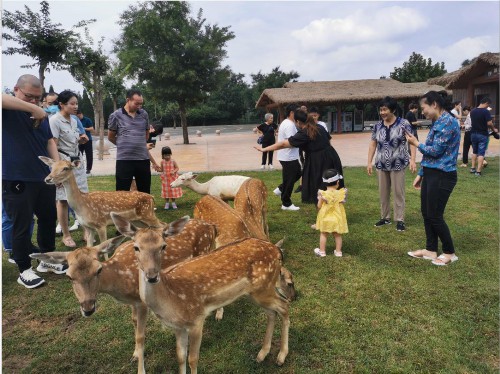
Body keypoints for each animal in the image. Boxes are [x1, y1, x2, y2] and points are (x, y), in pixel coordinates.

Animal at [30, 218, 218, 374]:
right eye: (69, 276)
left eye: (98, 270)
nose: (88, 308)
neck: (120, 283)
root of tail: (210, 226)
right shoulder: (133, 302)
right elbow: (133, 322)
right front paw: (135, 354)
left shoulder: (142, 301)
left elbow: (141, 336)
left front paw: (141, 369)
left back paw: (216, 316)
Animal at [109, 213, 290, 374]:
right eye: (136, 247)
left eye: (163, 246)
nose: (151, 276)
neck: (170, 299)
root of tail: (277, 251)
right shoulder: (178, 327)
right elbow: (180, 357)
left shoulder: (196, 319)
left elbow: (193, 359)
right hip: (256, 293)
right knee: (272, 312)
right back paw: (262, 354)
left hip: (264, 288)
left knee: (285, 305)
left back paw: (281, 357)